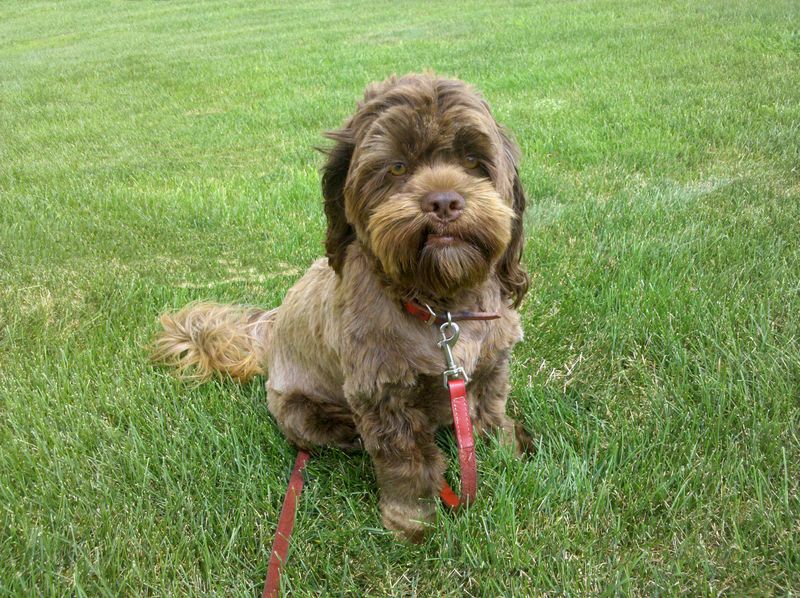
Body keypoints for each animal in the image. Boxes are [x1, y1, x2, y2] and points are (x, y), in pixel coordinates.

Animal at [154, 72, 536, 540]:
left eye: (472, 161)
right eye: (397, 167)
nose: (444, 201)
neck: (440, 309)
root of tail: (272, 332)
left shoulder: (490, 364)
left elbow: (489, 410)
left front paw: (506, 449)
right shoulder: (382, 396)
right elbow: (407, 462)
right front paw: (412, 520)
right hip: (301, 411)